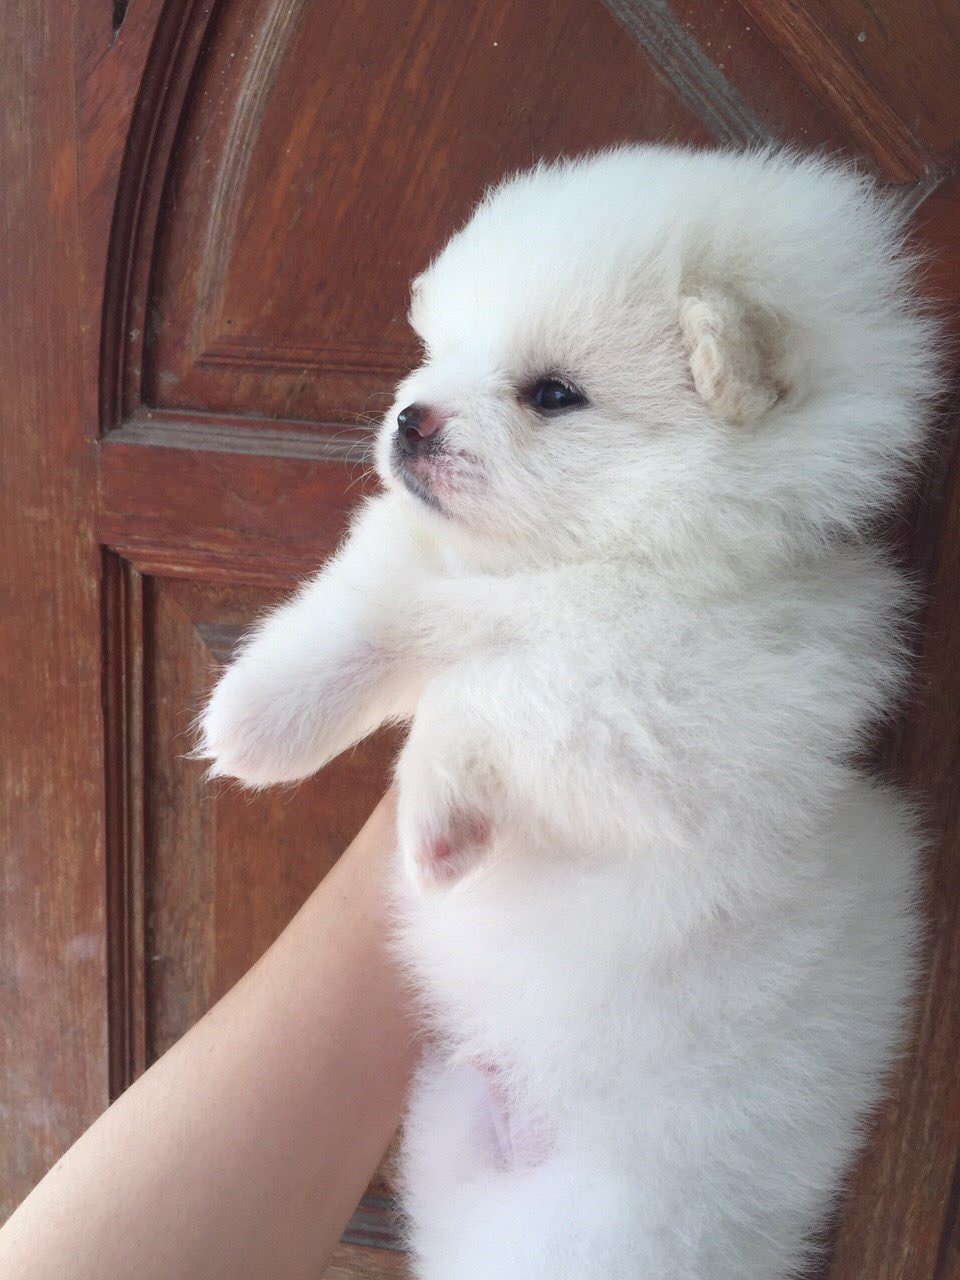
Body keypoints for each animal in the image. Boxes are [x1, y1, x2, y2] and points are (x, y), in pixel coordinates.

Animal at [200, 146, 938, 1278]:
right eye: (439, 352)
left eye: (553, 393)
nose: (411, 417)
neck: (579, 560)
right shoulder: (430, 565)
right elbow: (360, 607)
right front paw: (253, 714)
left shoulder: (662, 705)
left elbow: (494, 692)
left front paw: (434, 819)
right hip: (448, 1119)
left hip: (595, 1226)